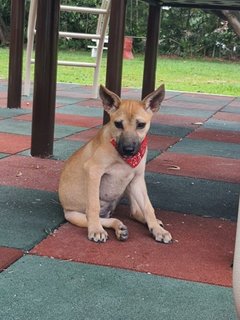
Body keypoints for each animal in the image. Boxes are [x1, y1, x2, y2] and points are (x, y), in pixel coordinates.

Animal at [58, 84, 172, 244]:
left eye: (141, 125)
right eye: (118, 124)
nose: (128, 149)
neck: (123, 159)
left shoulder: (138, 179)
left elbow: (148, 207)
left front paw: (157, 229)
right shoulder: (93, 171)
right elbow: (93, 205)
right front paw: (96, 230)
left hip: (130, 185)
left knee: (134, 212)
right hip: (75, 216)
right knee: (103, 218)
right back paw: (112, 227)